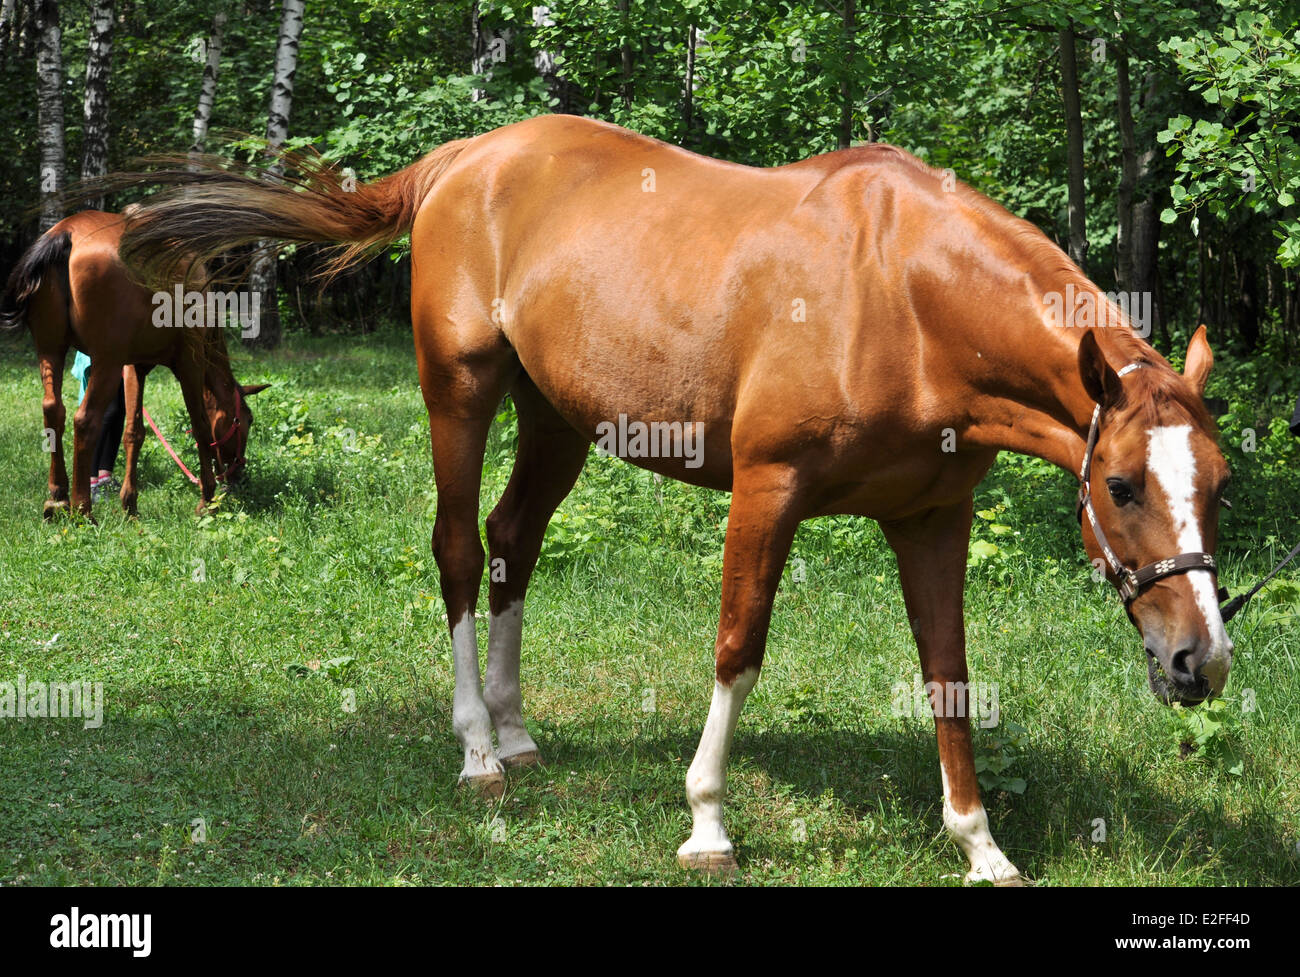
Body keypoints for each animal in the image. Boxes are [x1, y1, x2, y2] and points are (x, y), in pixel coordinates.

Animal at [0, 210, 269, 519]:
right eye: (247, 420)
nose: (239, 476)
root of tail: (67, 232)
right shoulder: (190, 363)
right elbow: (200, 425)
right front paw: (208, 498)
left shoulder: (133, 368)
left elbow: (134, 432)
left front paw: (130, 503)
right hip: (105, 362)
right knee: (86, 420)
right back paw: (83, 509)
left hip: (51, 351)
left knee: (53, 410)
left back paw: (58, 497)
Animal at [109, 116, 1227, 883]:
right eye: (1121, 484)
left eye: (1217, 483)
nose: (1200, 661)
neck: (903, 296)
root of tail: (465, 157)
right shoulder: (767, 492)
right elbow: (738, 648)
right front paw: (706, 821)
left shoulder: (930, 520)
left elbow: (948, 674)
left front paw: (979, 843)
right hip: (458, 393)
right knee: (461, 549)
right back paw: (478, 750)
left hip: (557, 418)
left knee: (513, 539)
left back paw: (516, 729)